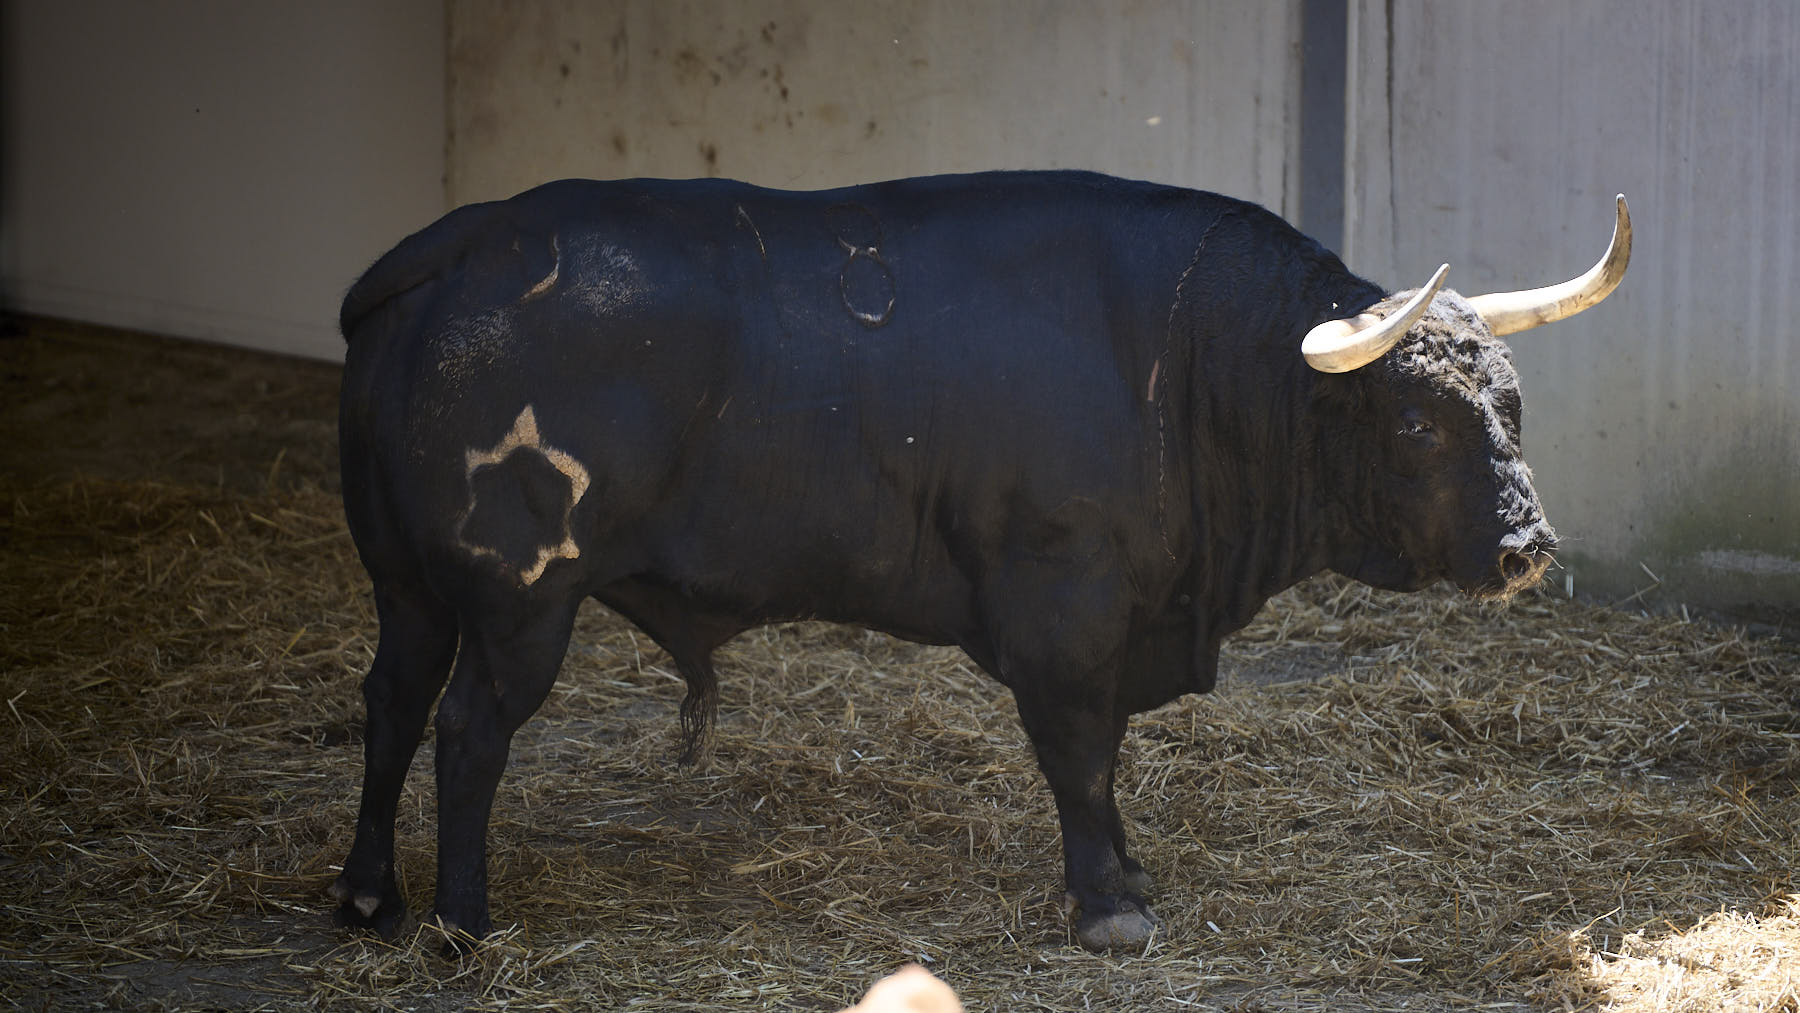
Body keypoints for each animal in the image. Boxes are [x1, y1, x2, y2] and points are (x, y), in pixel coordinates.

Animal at [327, 170, 1634, 957]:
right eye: (1414, 423)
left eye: (1513, 403)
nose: (1526, 546)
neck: (1192, 363)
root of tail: (458, 243)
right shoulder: (1065, 609)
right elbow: (1081, 755)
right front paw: (1109, 903)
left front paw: (1128, 874)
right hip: (518, 596)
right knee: (466, 729)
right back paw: (459, 918)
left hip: (408, 585)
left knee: (391, 700)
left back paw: (367, 892)